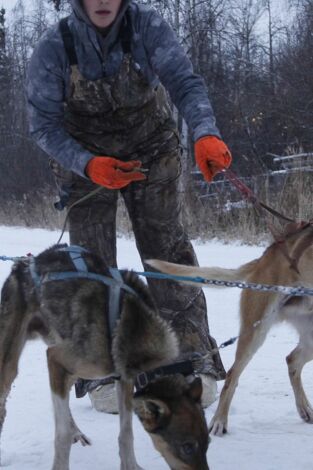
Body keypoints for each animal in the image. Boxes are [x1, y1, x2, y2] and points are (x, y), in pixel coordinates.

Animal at [0, 244, 210, 470]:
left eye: (208, 443)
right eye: (187, 447)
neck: (133, 325)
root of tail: (25, 263)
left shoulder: (124, 377)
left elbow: (126, 432)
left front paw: (130, 465)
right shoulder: (56, 359)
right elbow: (61, 435)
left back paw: (76, 431)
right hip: (12, 363)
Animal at [147, 224, 313, 436]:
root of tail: (264, 258)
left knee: (292, 360)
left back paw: (304, 409)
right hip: (254, 332)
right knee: (232, 376)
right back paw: (219, 421)